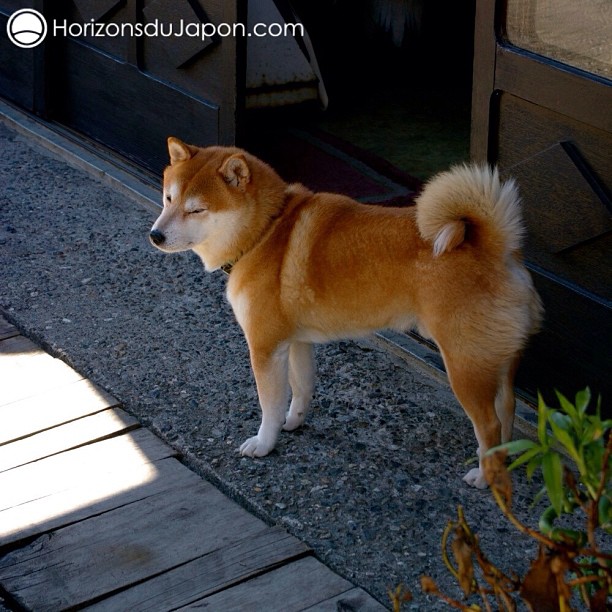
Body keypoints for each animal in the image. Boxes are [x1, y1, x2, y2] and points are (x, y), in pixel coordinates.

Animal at [151, 137, 544, 488]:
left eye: (196, 209)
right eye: (169, 199)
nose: (155, 235)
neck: (266, 230)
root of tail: (496, 246)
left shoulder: (265, 347)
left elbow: (270, 404)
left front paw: (264, 443)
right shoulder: (295, 342)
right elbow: (302, 389)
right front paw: (294, 422)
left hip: (463, 365)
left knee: (489, 425)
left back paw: (486, 476)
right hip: (494, 359)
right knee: (507, 409)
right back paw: (507, 457)